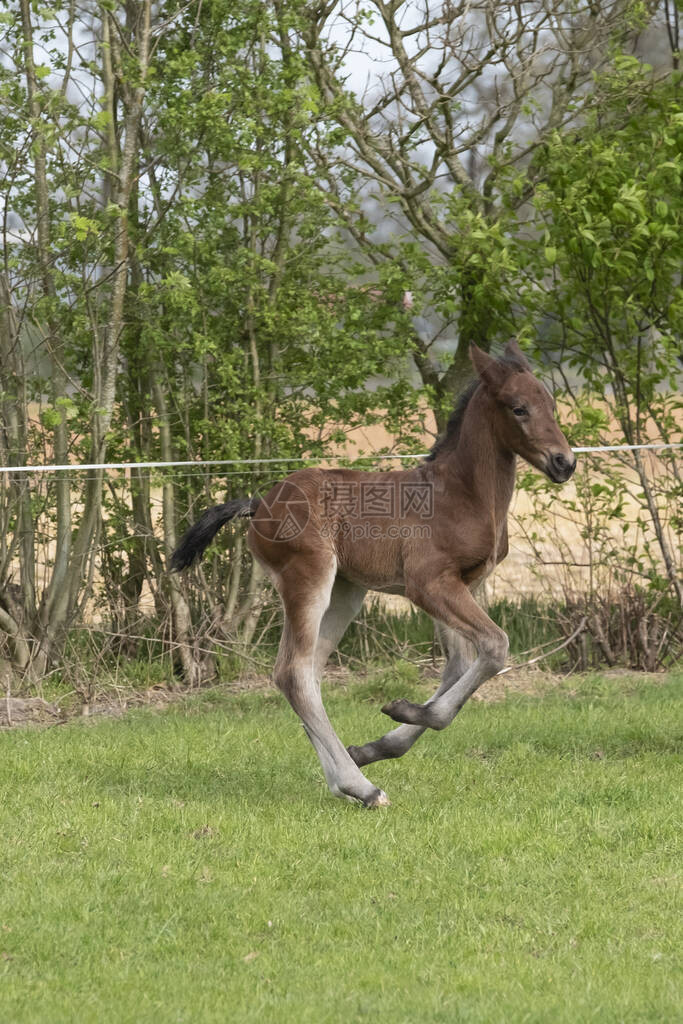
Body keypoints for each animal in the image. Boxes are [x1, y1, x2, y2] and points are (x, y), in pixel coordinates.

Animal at [172, 344, 577, 806]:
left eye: (552, 405)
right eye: (518, 408)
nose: (565, 463)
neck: (461, 494)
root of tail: (260, 503)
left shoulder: (459, 585)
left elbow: (457, 666)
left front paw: (376, 745)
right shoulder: (428, 584)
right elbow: (494, 647)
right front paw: (405, 709)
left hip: (346, 592)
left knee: (309, 672)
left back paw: (345, 780)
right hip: (308, 578)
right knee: (292, 672)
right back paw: (361, 787)